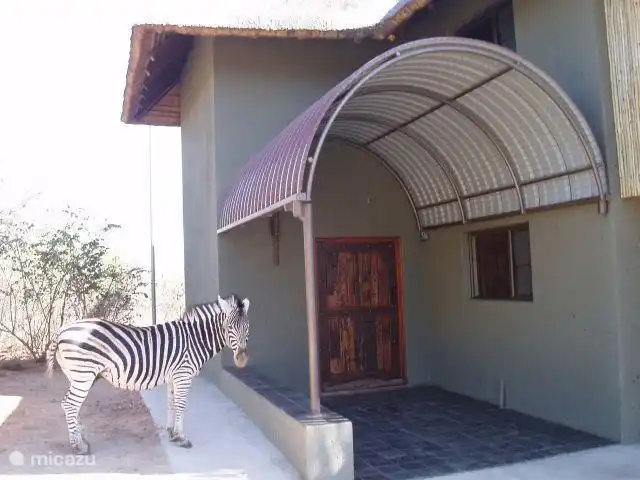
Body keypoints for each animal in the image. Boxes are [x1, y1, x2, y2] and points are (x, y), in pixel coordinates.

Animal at [45, 293, 251, 455]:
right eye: (229, 327)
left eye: (247, 327)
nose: (241, 359)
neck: (195, 339)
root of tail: (61, 331)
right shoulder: (183, 375)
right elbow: (181, 405)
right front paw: (182, 438)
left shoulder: (174, 376)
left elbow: (172, 403)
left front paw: (172, 433)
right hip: (83, 374)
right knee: (70, 405)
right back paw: (78, 447)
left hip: (78, 376)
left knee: (72, 405)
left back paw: (82, 441)